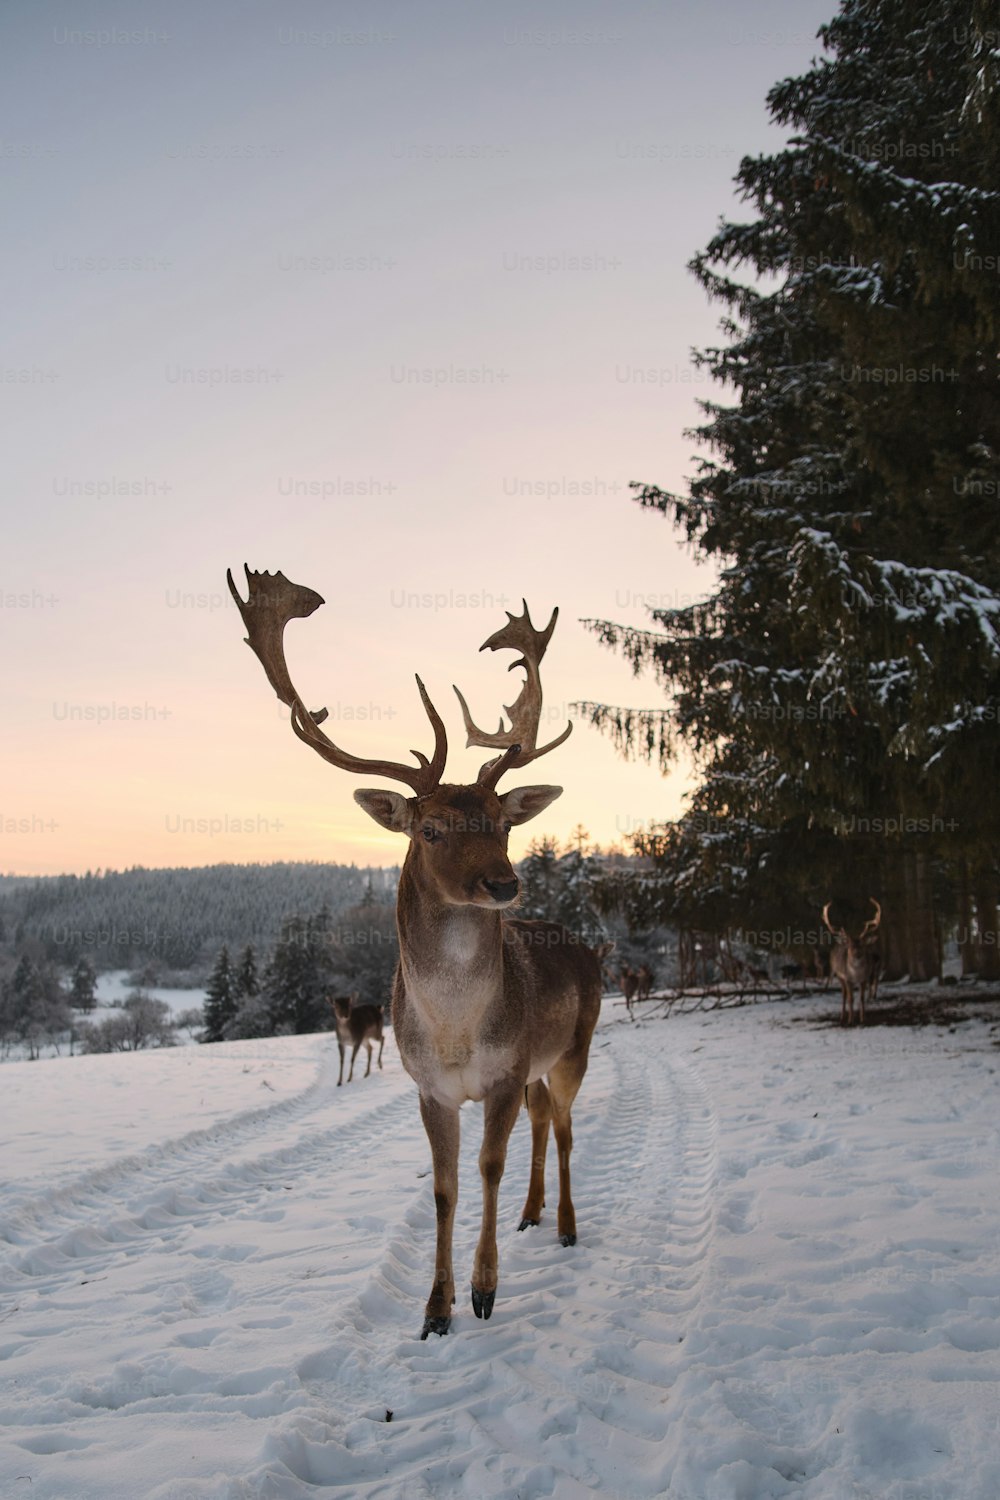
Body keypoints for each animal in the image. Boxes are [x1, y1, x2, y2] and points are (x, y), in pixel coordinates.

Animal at [232, 564, 611, 1338]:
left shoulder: (501, 1074)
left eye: (502, 822)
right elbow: (443, 1188)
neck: (457, 1034)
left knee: (562, 1127)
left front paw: (484, 1291)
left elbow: (488, 1168)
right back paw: (533, 1215)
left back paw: (563, 1224)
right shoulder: (429, 1087)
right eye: (429, 829)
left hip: (575, 1046)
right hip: (538, 1063)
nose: (505, 882)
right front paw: (436, 1309)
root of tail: (588, 947)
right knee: (542, 1123)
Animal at [821, 894, 881, 1026]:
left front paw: (863, 1018)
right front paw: (851, 1020)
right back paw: (842, 1016)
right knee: (843, 995)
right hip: (838, 975)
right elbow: (850, 999)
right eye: (850, 946)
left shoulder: (864, 979)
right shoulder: (848, 979)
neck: (856, 974)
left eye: (863, 945)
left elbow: (861, 998)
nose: (857, 954)